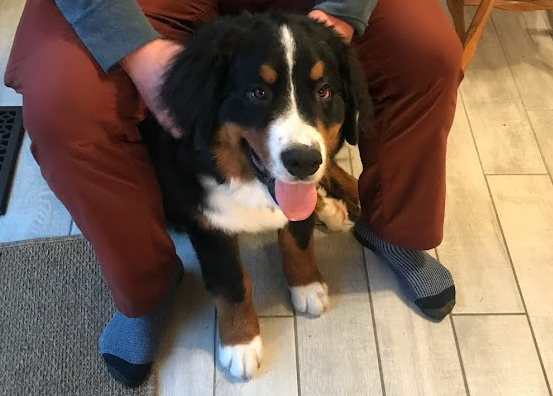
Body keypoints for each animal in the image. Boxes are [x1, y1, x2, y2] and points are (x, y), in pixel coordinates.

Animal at [141, 10, 370, 378]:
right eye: (258, 93)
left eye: (323, 91)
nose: (304, 161)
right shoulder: (206, 222)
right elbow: (232, 283)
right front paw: (241, 344)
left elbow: (297, 243)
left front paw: (306, 285)